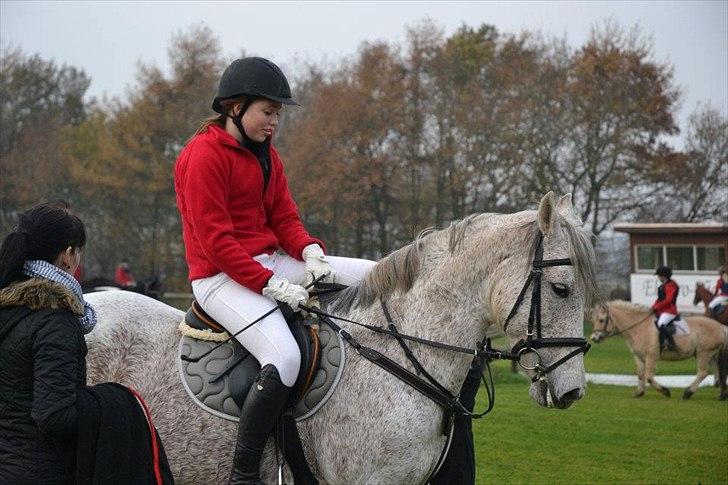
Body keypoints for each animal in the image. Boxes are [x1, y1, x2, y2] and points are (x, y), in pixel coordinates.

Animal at [592, 300, 728, 398]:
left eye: (601, 320)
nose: (594, 338)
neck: (639, 327)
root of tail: (720, 326)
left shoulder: (651, 356)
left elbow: (649, 376)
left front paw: (665, 391)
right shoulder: (638, 356)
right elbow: (640, 374)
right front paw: (639, 393)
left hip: (703, 353)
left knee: (703, 372)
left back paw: (688, 392)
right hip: (712, 355)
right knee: (717, 372)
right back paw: (721, 395)